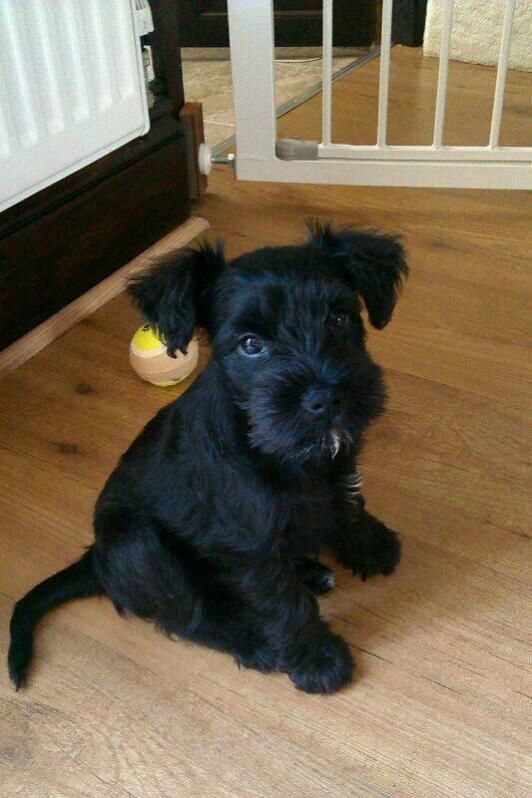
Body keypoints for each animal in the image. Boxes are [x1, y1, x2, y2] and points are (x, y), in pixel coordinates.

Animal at [7, 223, 408, 692]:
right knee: (190, 614)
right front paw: (317, 659)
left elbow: (349, 503)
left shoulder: (340, 462)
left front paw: (370, 544)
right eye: (250, 345)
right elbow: (283, 603)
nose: (326, 399)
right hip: (137, 543)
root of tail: (94, 560)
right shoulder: (248, 544)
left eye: (339, 317)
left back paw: (311, 571)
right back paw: (255, 642)